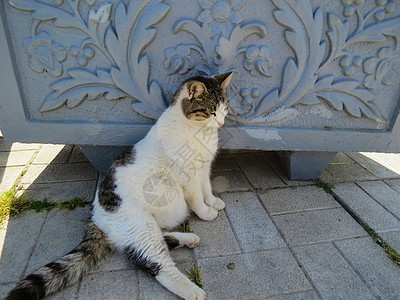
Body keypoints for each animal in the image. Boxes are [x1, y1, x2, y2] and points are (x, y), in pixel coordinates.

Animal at [6, 72, 233, 300]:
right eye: (211, 111)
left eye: (225, 108)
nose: (221, 122)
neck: (198, 131)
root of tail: (95, 214)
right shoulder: (188, 176)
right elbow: (197, 198)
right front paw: (206, 212)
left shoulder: (204, 168)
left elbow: (207, 188)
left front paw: (214, 202)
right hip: (142, 228)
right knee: (156, 264)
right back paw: (193, 291)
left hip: (146, 226)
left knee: (158, 239)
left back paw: (189, 238)